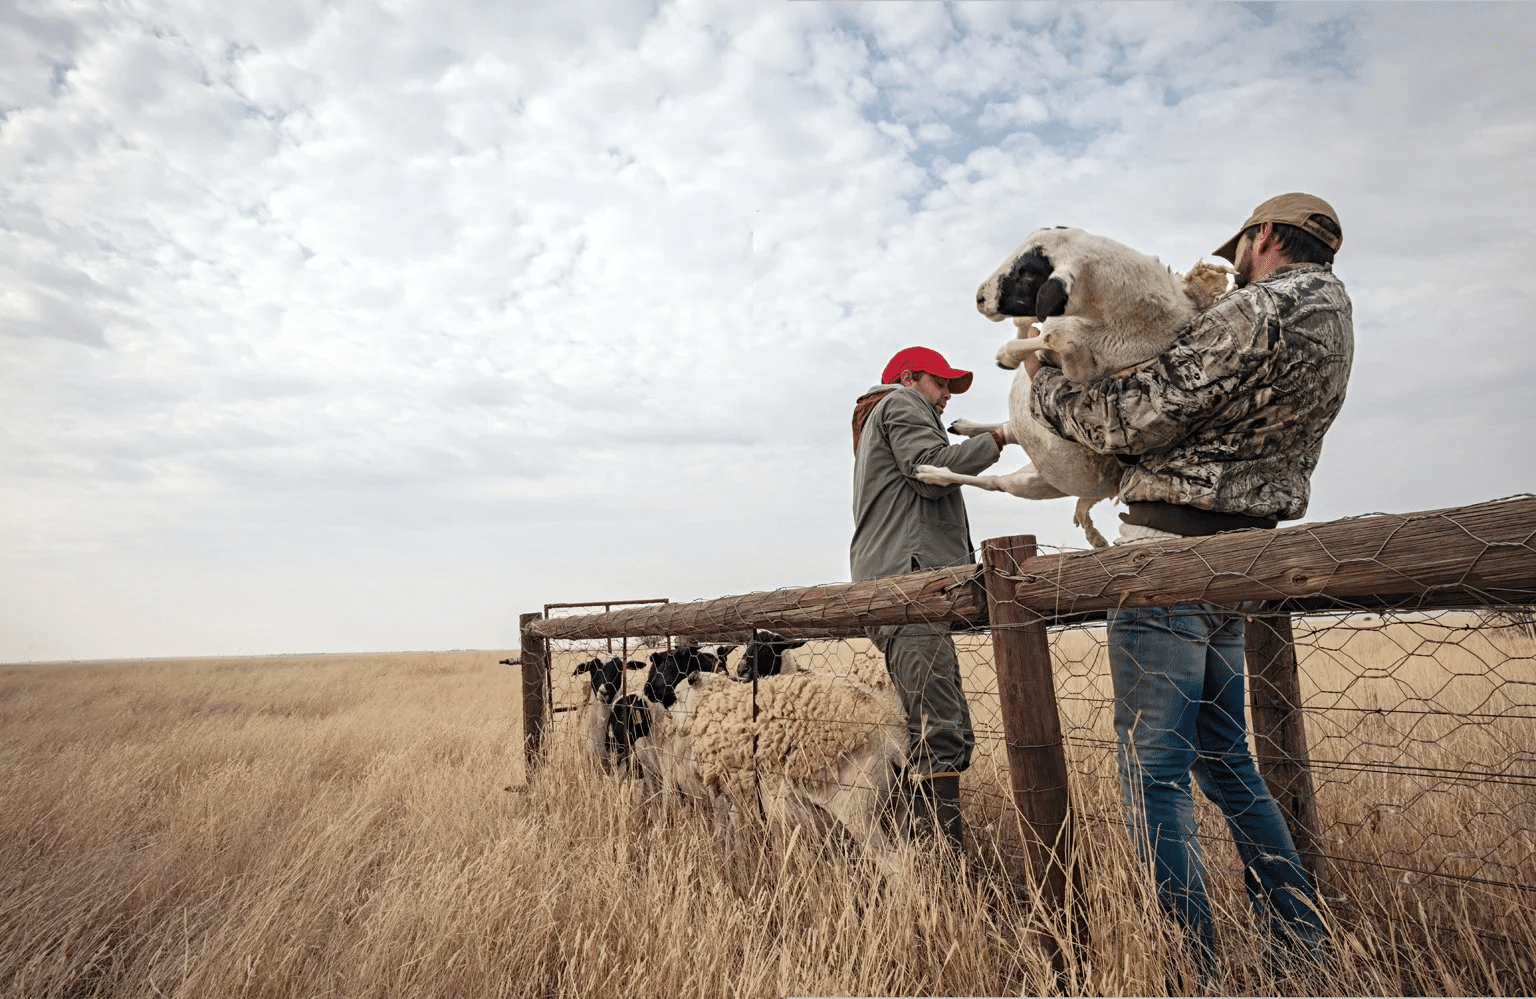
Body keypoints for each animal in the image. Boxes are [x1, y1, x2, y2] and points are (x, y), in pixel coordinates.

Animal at [915, 225, 1228, 547]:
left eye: (1028, 273)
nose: (980, 298)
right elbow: (1034, 328)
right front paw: (1017, 345)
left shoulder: (1081, 375)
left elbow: (1055, 340)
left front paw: (1008, 355)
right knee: (1006, 430)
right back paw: (963, 426)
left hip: (1034, 482)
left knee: (994, 481)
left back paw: (931, 473)